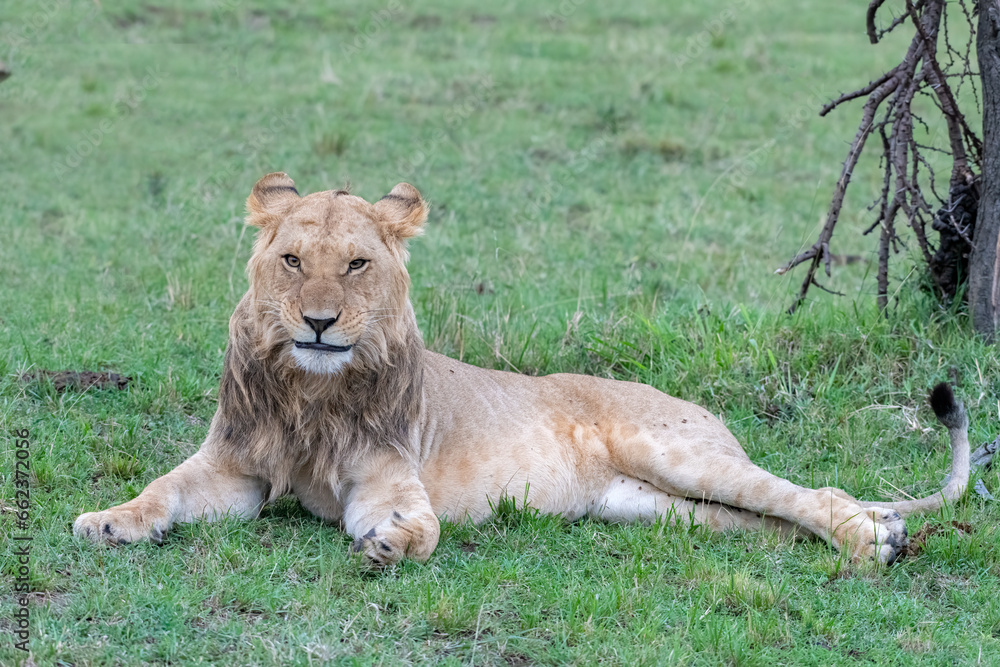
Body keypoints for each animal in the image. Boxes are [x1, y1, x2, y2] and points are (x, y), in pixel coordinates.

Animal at [74, 173, 971, 566]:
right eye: (292, 260)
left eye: (358, 264)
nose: (319, 322)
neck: (309, 393)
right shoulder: (235, 468)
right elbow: (164, 488)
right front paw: (109, 521)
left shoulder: (384, 477)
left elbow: (419, 525)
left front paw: (394, 543)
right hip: (650, 505)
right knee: (768, 520)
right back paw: (885, 534)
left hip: (677, 452)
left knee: (814, 492)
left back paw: (870, 540)